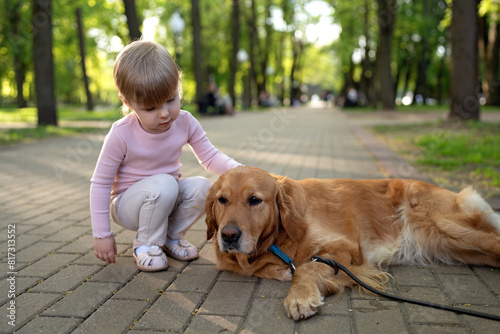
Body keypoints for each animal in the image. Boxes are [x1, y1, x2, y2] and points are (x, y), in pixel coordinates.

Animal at [204, 166, 500, 320]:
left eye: (254, 200)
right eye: (222, 200)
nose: (228, 236)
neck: (276, 239)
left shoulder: (345, 249)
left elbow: (307, 267)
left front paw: (299, 296)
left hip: (448, 226)